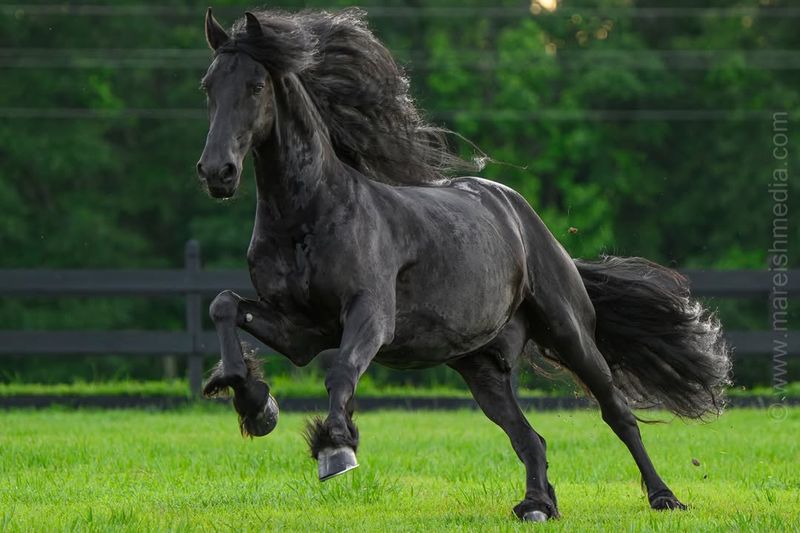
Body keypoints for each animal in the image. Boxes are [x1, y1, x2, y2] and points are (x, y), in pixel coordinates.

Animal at [195, 8, 732, 520]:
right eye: (208, 85)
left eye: (256, 85)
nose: (217, 172)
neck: (309, 215)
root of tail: (527, 219)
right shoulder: (301, 332)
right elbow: (224, 305)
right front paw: (255, 405)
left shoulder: (370, 315)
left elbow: (341, 371)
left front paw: (335, 447)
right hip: (480, 366)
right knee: (529, 437)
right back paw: (536, 506)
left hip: (570, 333)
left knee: (617, 412)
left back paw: (665, 498)